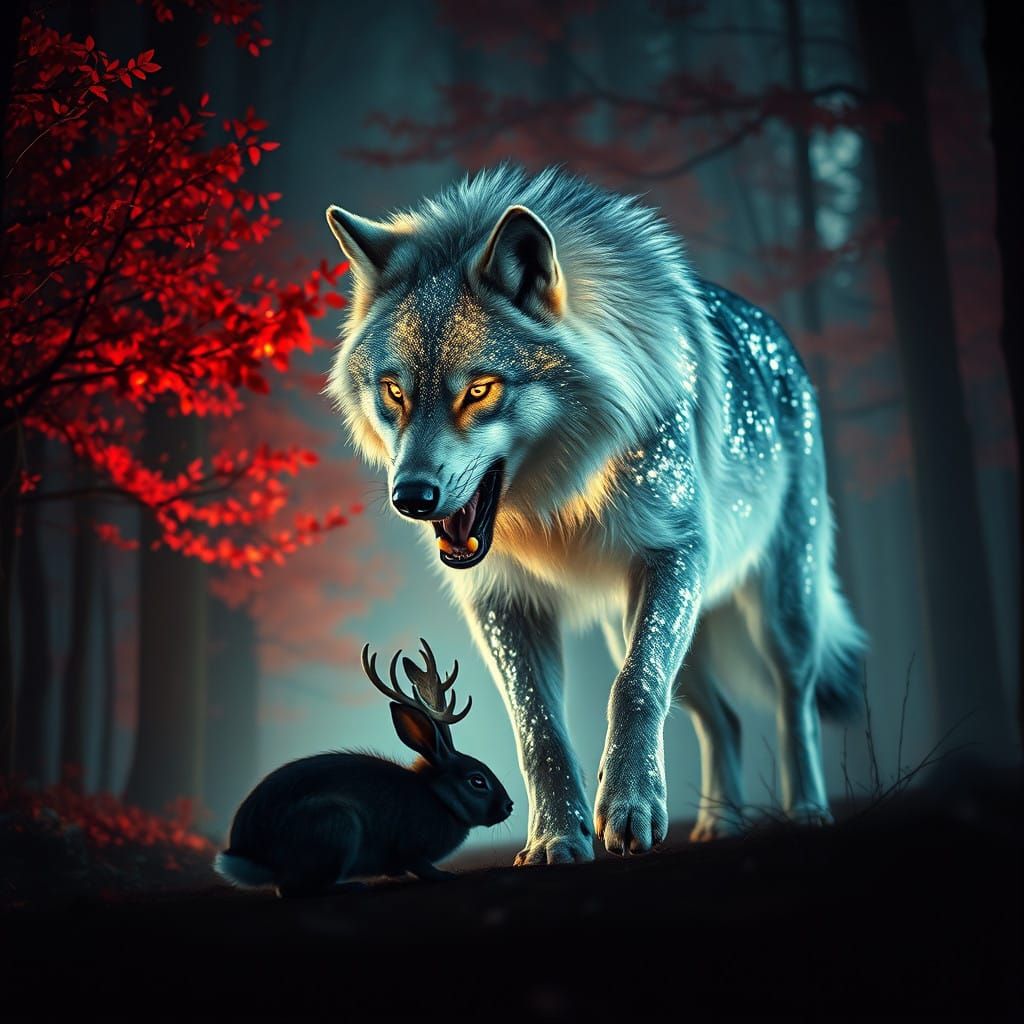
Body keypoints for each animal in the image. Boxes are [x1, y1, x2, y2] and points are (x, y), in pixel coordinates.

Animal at [324, 166, 865, 863]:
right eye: (394, 392)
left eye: (480, 390)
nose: (411, 498)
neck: (559, 504)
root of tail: (779, 339)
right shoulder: (502, 599)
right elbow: (539, 730)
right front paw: (557, 836)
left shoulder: (675, 556)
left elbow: (635, 686)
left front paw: (630, 808)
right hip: (658, 636)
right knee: (725, 719)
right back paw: (719, 824)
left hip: (780, 610)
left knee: (792, 703)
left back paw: (806, 812)